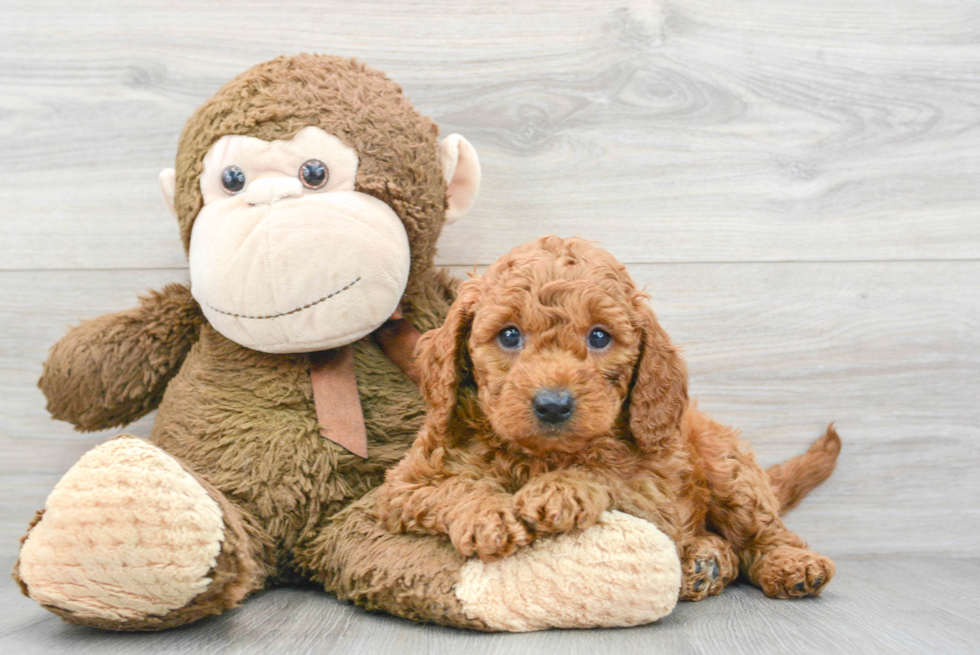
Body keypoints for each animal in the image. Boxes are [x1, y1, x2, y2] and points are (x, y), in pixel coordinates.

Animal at [378, 238, 840, 604]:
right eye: (509, 335)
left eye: (599, 337)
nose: (553, 405)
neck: (538, 455)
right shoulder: (404, 485)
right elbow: (454, 487)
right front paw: (488, 516)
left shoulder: (655, 491)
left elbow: (607, 472)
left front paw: (560, 490)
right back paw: (706, 562)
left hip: (726, 464)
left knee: (763, 529)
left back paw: (789, 565)